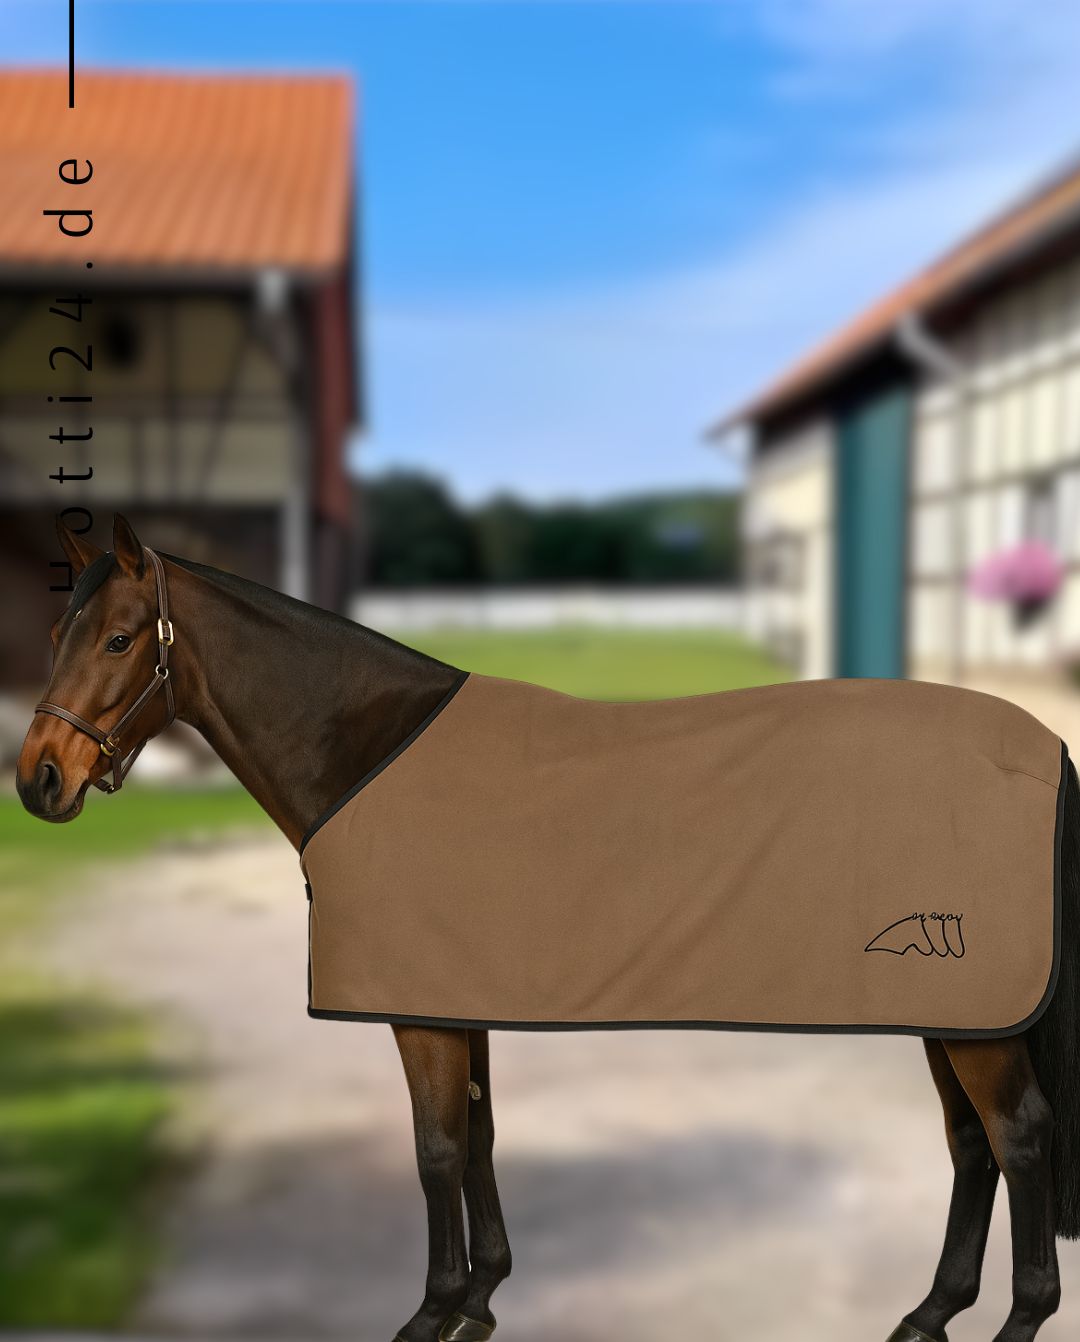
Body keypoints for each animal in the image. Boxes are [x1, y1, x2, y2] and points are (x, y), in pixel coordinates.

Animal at [16, 513, 1080, 1342]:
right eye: (62, 629)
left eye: (119, 640)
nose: (38, 781)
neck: (364, 751)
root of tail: (1041, 745)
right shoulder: (458, 996)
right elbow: (480, 1136)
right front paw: (482, 1299)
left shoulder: (422, 1013)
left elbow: (436, 1149)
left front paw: (431, 1311)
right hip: (952, 1010)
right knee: (972, 1143)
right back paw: (930, 1312)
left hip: (970, 1012)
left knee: (1021, 1135)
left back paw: (1020, 1317)